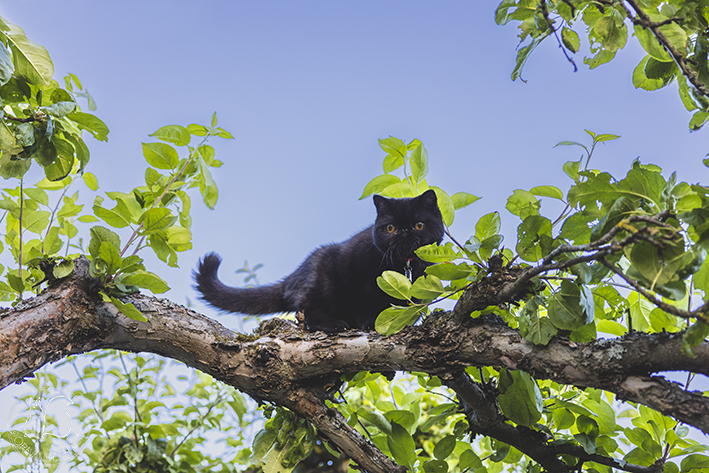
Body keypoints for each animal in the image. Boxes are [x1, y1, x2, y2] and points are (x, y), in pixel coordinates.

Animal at [192, 189, 442, 332]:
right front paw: (371, 322)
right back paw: (334, 325)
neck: (403, 265)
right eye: (390, 228)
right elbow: (363, 304)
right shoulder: (358, 280)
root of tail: (295, 275)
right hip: (322, 280)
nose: (404, 232)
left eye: (419, 224)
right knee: (307, 306)